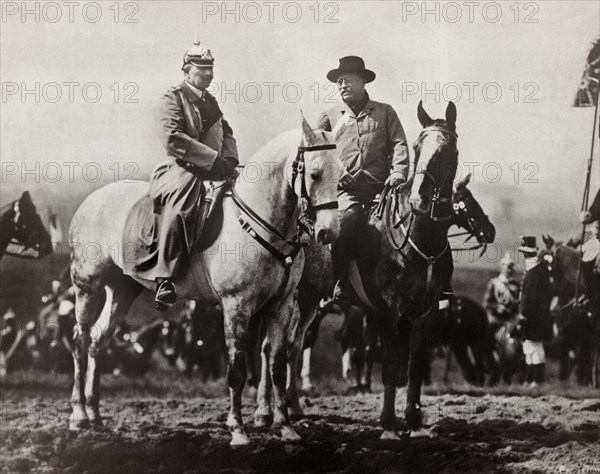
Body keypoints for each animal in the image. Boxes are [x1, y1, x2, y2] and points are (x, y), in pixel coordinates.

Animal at [67, 116, 342, 446]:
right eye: (314, 173)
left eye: (342, 173)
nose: (329, 232)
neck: (259, 223)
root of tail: (91, 200)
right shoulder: (237, 305)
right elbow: (237, 370)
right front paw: (238, 431)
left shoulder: (282, 306)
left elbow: (277, 365)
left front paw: (285, 427)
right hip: (88, 287)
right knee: (80, 340)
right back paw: (78, 415)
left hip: (121, 291)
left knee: (98, 342)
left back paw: (94, 414)